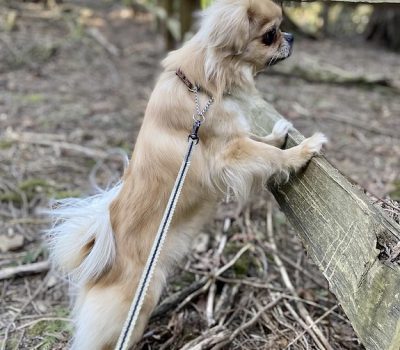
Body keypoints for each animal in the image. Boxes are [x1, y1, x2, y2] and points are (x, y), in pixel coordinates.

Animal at [48, 0, 326, 348]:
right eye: (270, 35)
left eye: (280, 29)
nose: (290, 36)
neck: (198, 86)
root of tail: (101, 266)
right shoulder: (228, 152)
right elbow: (271, 155)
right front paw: (303, 151)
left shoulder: (236, 138)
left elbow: (261, 141)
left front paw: (279, 133)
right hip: (140, 302)